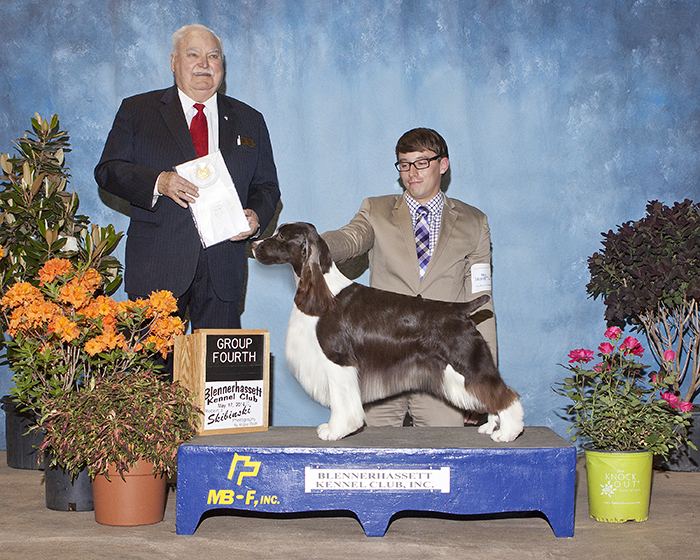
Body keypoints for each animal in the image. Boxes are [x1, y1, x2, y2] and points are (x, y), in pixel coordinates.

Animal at [251, 222, 524, 442]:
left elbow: (342, 402)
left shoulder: (339, 361)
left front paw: (335, 431)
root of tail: (460, 309)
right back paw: (491, 426)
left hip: (467, 362)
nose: (253, 244)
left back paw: (507, 433)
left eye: (281, 236)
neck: (323, 290)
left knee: (505, 394)